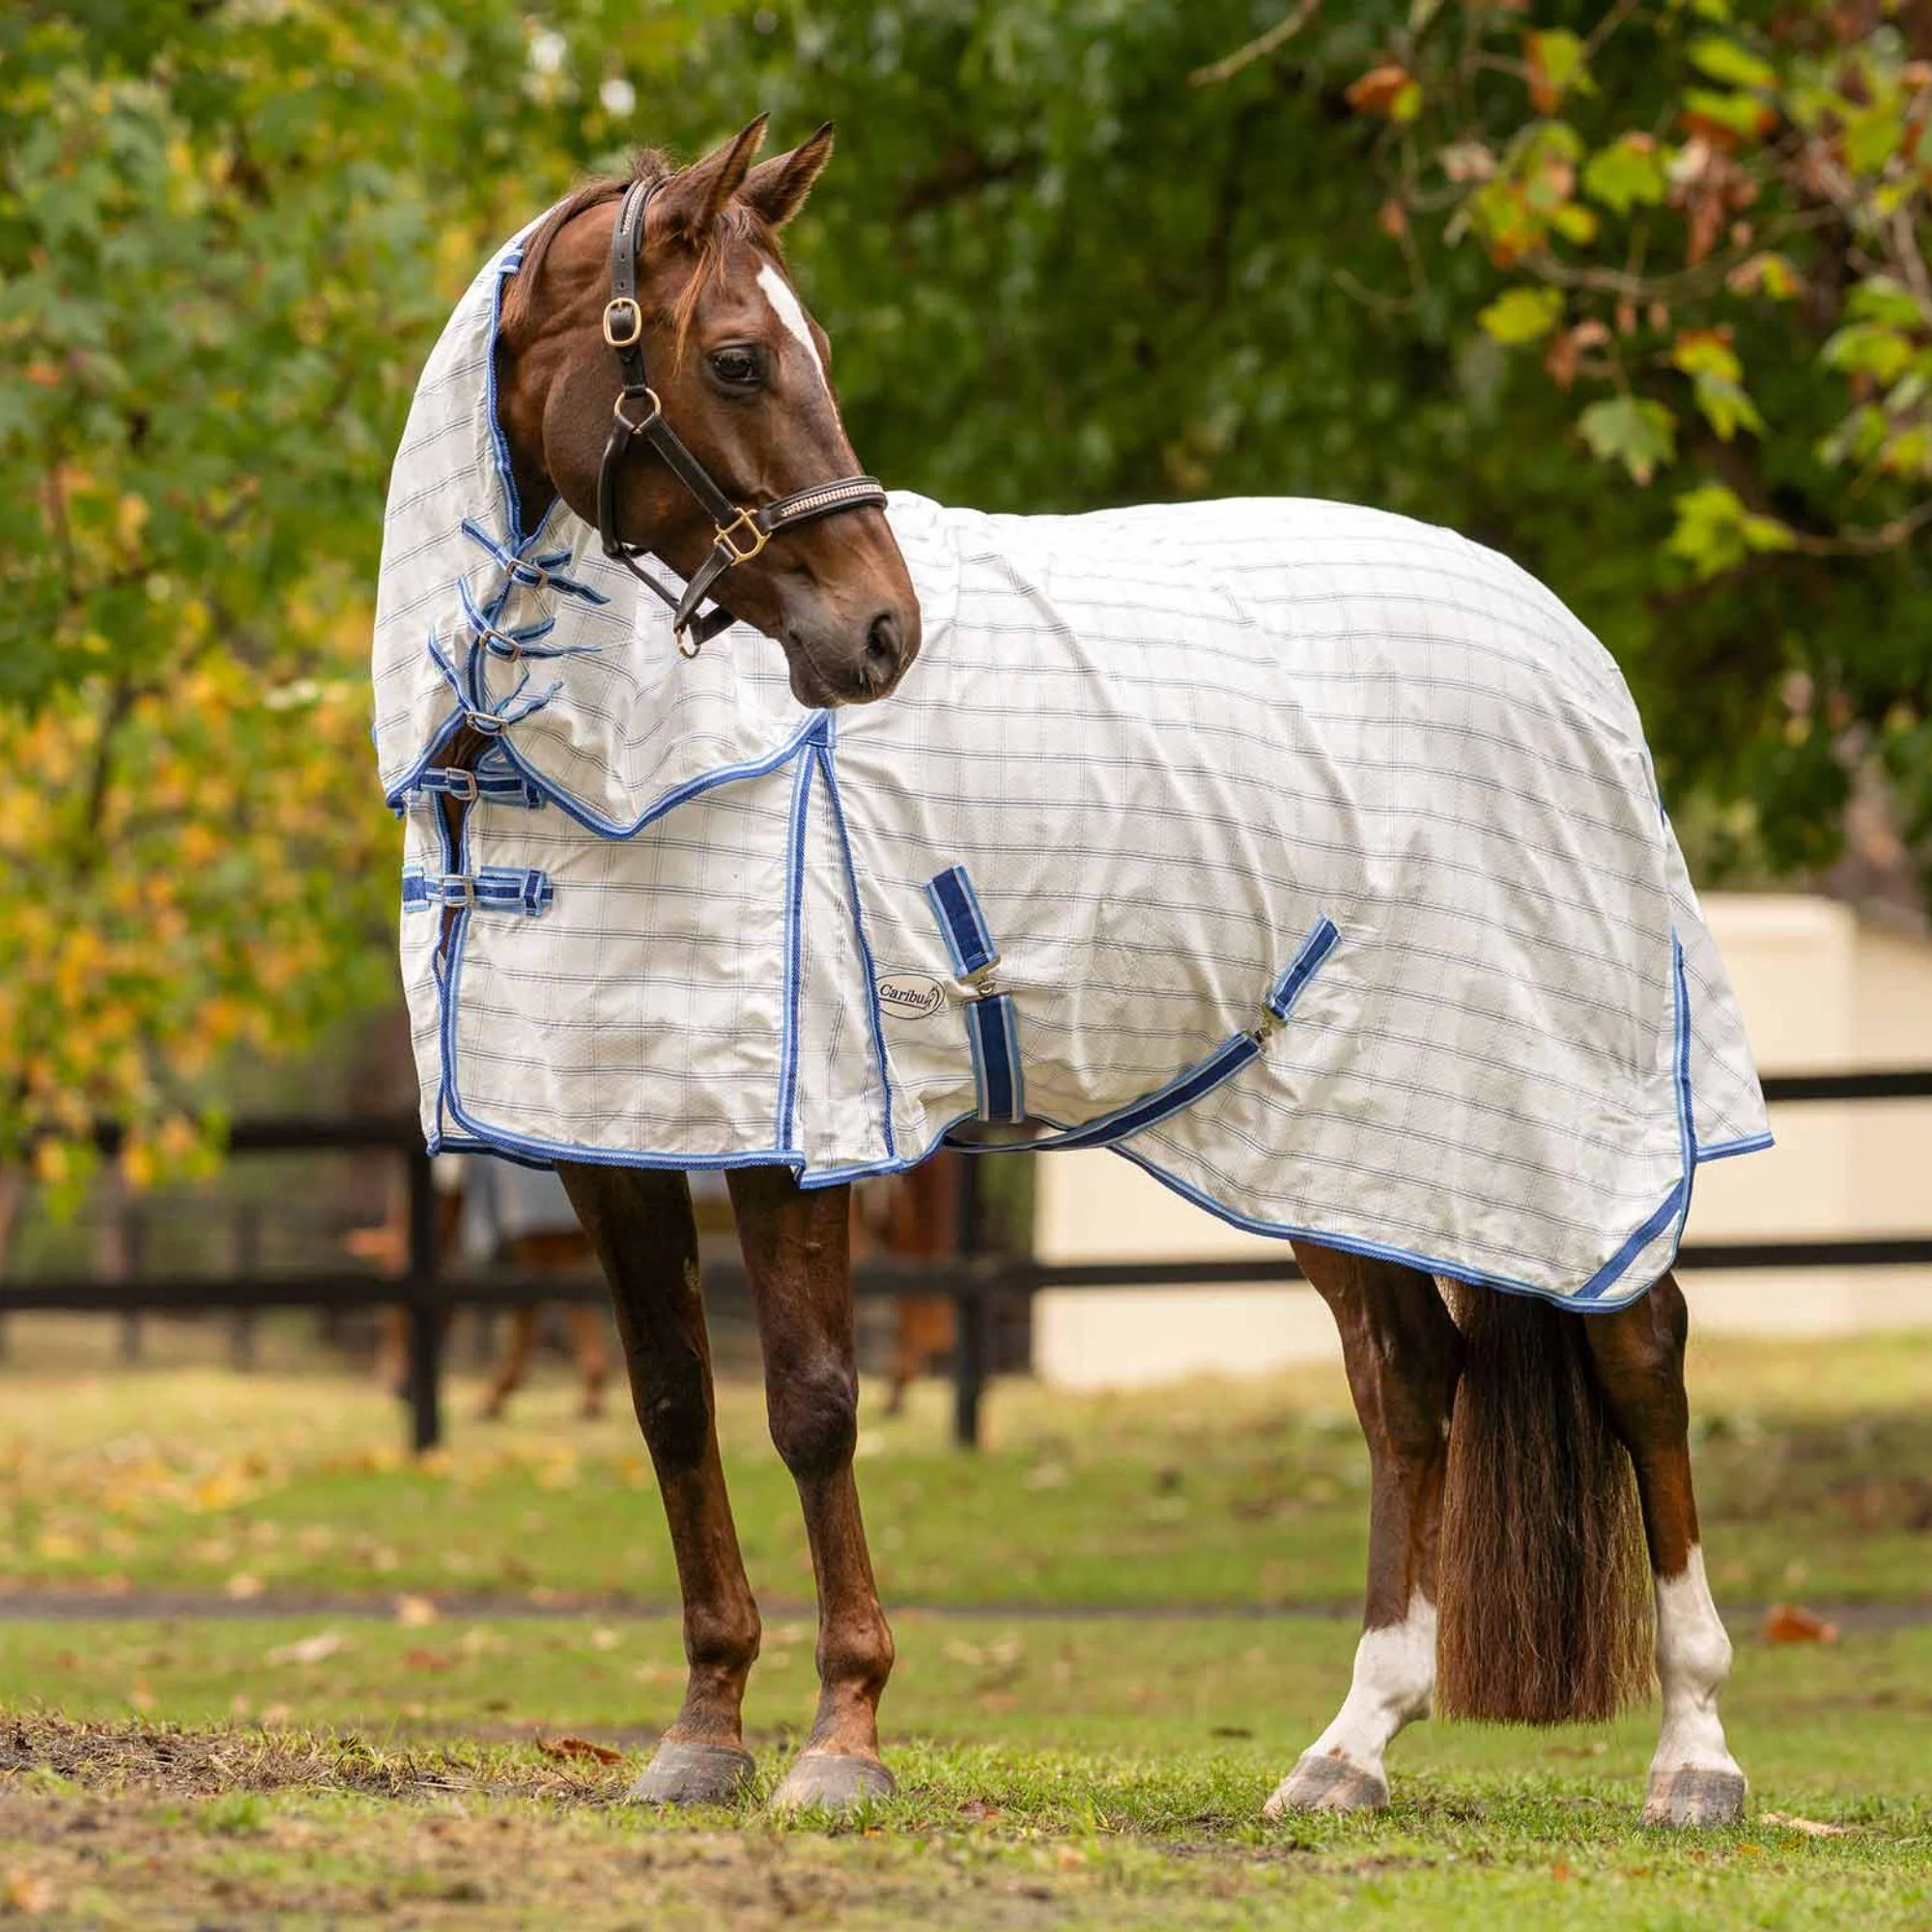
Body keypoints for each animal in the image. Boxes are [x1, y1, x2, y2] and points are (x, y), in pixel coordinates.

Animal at [389, 117, 1754, 1824]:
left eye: (799, 350)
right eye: (738, 357)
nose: (882, 633)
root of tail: (1568, 648)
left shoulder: (801, 1135)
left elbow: (814, 1406)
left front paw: (843, 1736)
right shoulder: (610, 1138)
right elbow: (670, 1405)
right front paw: (702, 1728)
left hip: (1547, 1106)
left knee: (1640, 1351)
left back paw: (1695, 1752)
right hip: (1340, 1123)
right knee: (1407, 1379)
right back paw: (1347, 1748)